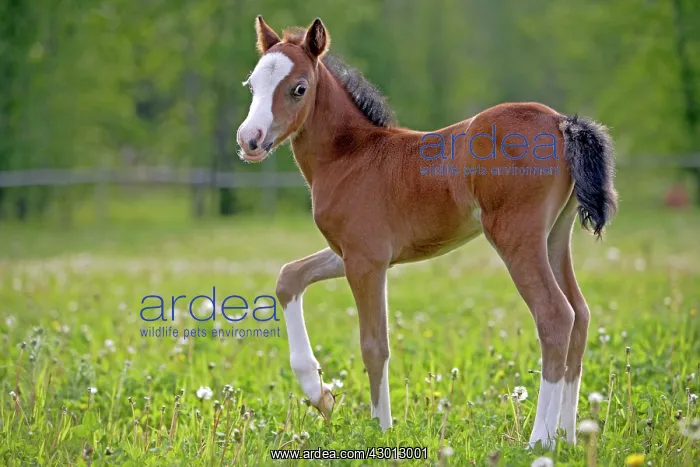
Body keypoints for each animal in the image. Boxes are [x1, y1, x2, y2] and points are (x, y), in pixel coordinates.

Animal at [236, 16, 617, 448]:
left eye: (299, 88)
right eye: (252, 84)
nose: (250, 140)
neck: (350, 157)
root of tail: (561, 121)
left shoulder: (366, 260)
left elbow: (374, 345)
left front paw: (381, 430)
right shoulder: (353, 252)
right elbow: (289, 277)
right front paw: (320, 395)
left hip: (515, 236)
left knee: (555, 316)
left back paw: (539, 440)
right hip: (554, 237)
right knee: (580, 314)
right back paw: (568, 436)